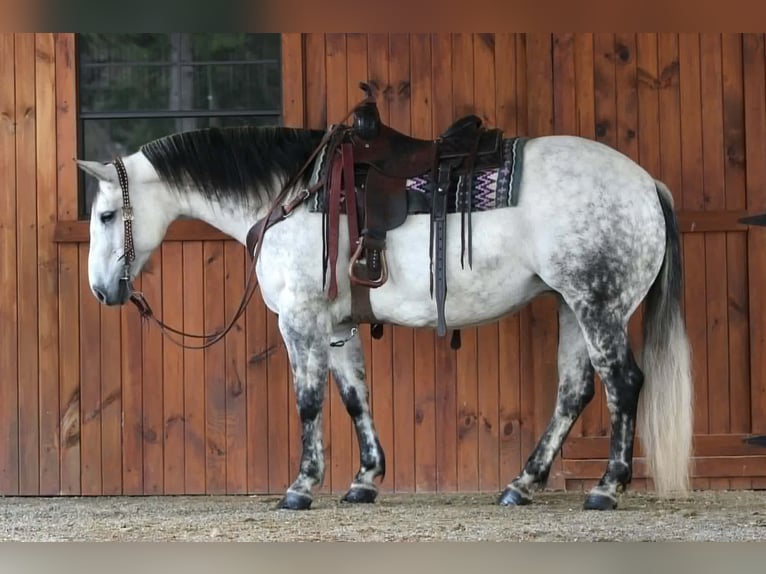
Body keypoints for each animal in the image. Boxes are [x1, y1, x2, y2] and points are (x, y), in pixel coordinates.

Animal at [77, 117, 693, 512]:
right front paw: (365, 481)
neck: (294, 198)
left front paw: (301, 487)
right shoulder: (337, 326)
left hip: (598, 306)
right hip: (570, 306)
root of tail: (646, 184)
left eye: (106, 216)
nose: (102, 291)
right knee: (574, 391)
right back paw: (521, 484)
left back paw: (606, 488)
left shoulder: (299, 320)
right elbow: (354, 397)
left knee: (623, 383)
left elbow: (309, 401)